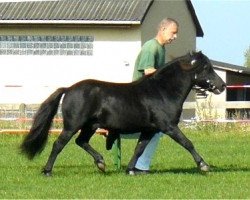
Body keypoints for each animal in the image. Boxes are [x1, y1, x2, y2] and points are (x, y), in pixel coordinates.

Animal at [20, 51, 226, 175]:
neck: (162, 91)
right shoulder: (168, 126)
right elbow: (187, 143)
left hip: (90, 126)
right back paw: (47, 171)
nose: (222, 86)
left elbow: (139, 148)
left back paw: (101, 163)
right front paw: (203, 165)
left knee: (81, 142)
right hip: (72, 126)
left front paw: (131, 170)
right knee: (58, 144)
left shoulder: (150, 130)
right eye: (206, 68)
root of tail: (69, 89)